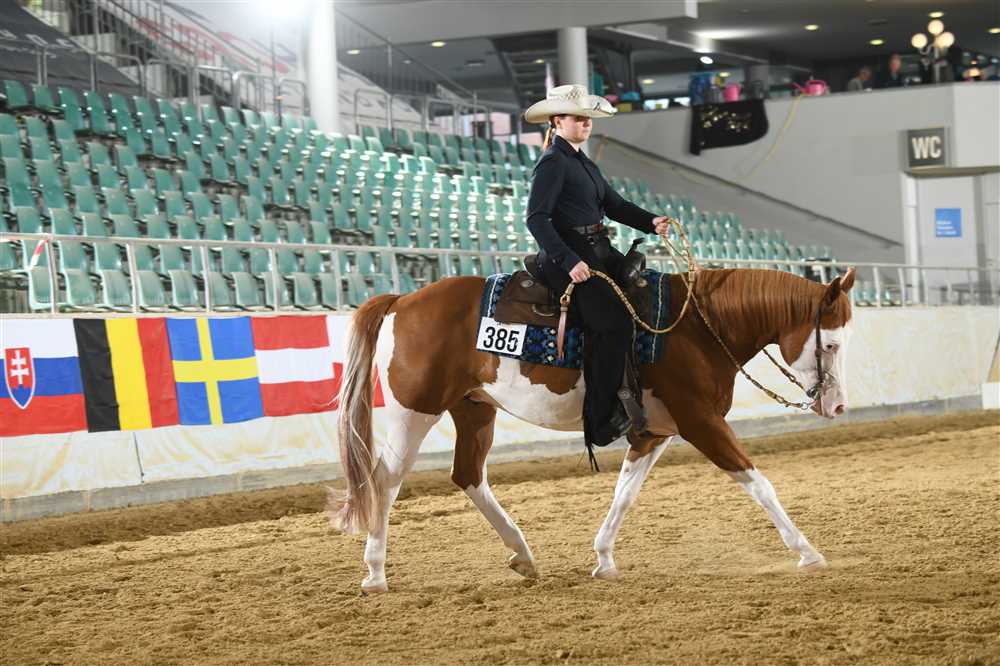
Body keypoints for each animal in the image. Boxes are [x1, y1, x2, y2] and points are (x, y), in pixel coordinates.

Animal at [331, 266, 856, 594]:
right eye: (830, 344)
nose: (837, 405)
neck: (696, 329)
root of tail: (403, 300)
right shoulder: (701, 422)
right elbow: (758, 483)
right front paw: (807, 552)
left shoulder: (654, 432)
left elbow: (625, 492)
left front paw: (603, 559)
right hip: (414, 411)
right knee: (385, 482)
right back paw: (374, 574)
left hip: (474, 409)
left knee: (469, 475)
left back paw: (523, 555)